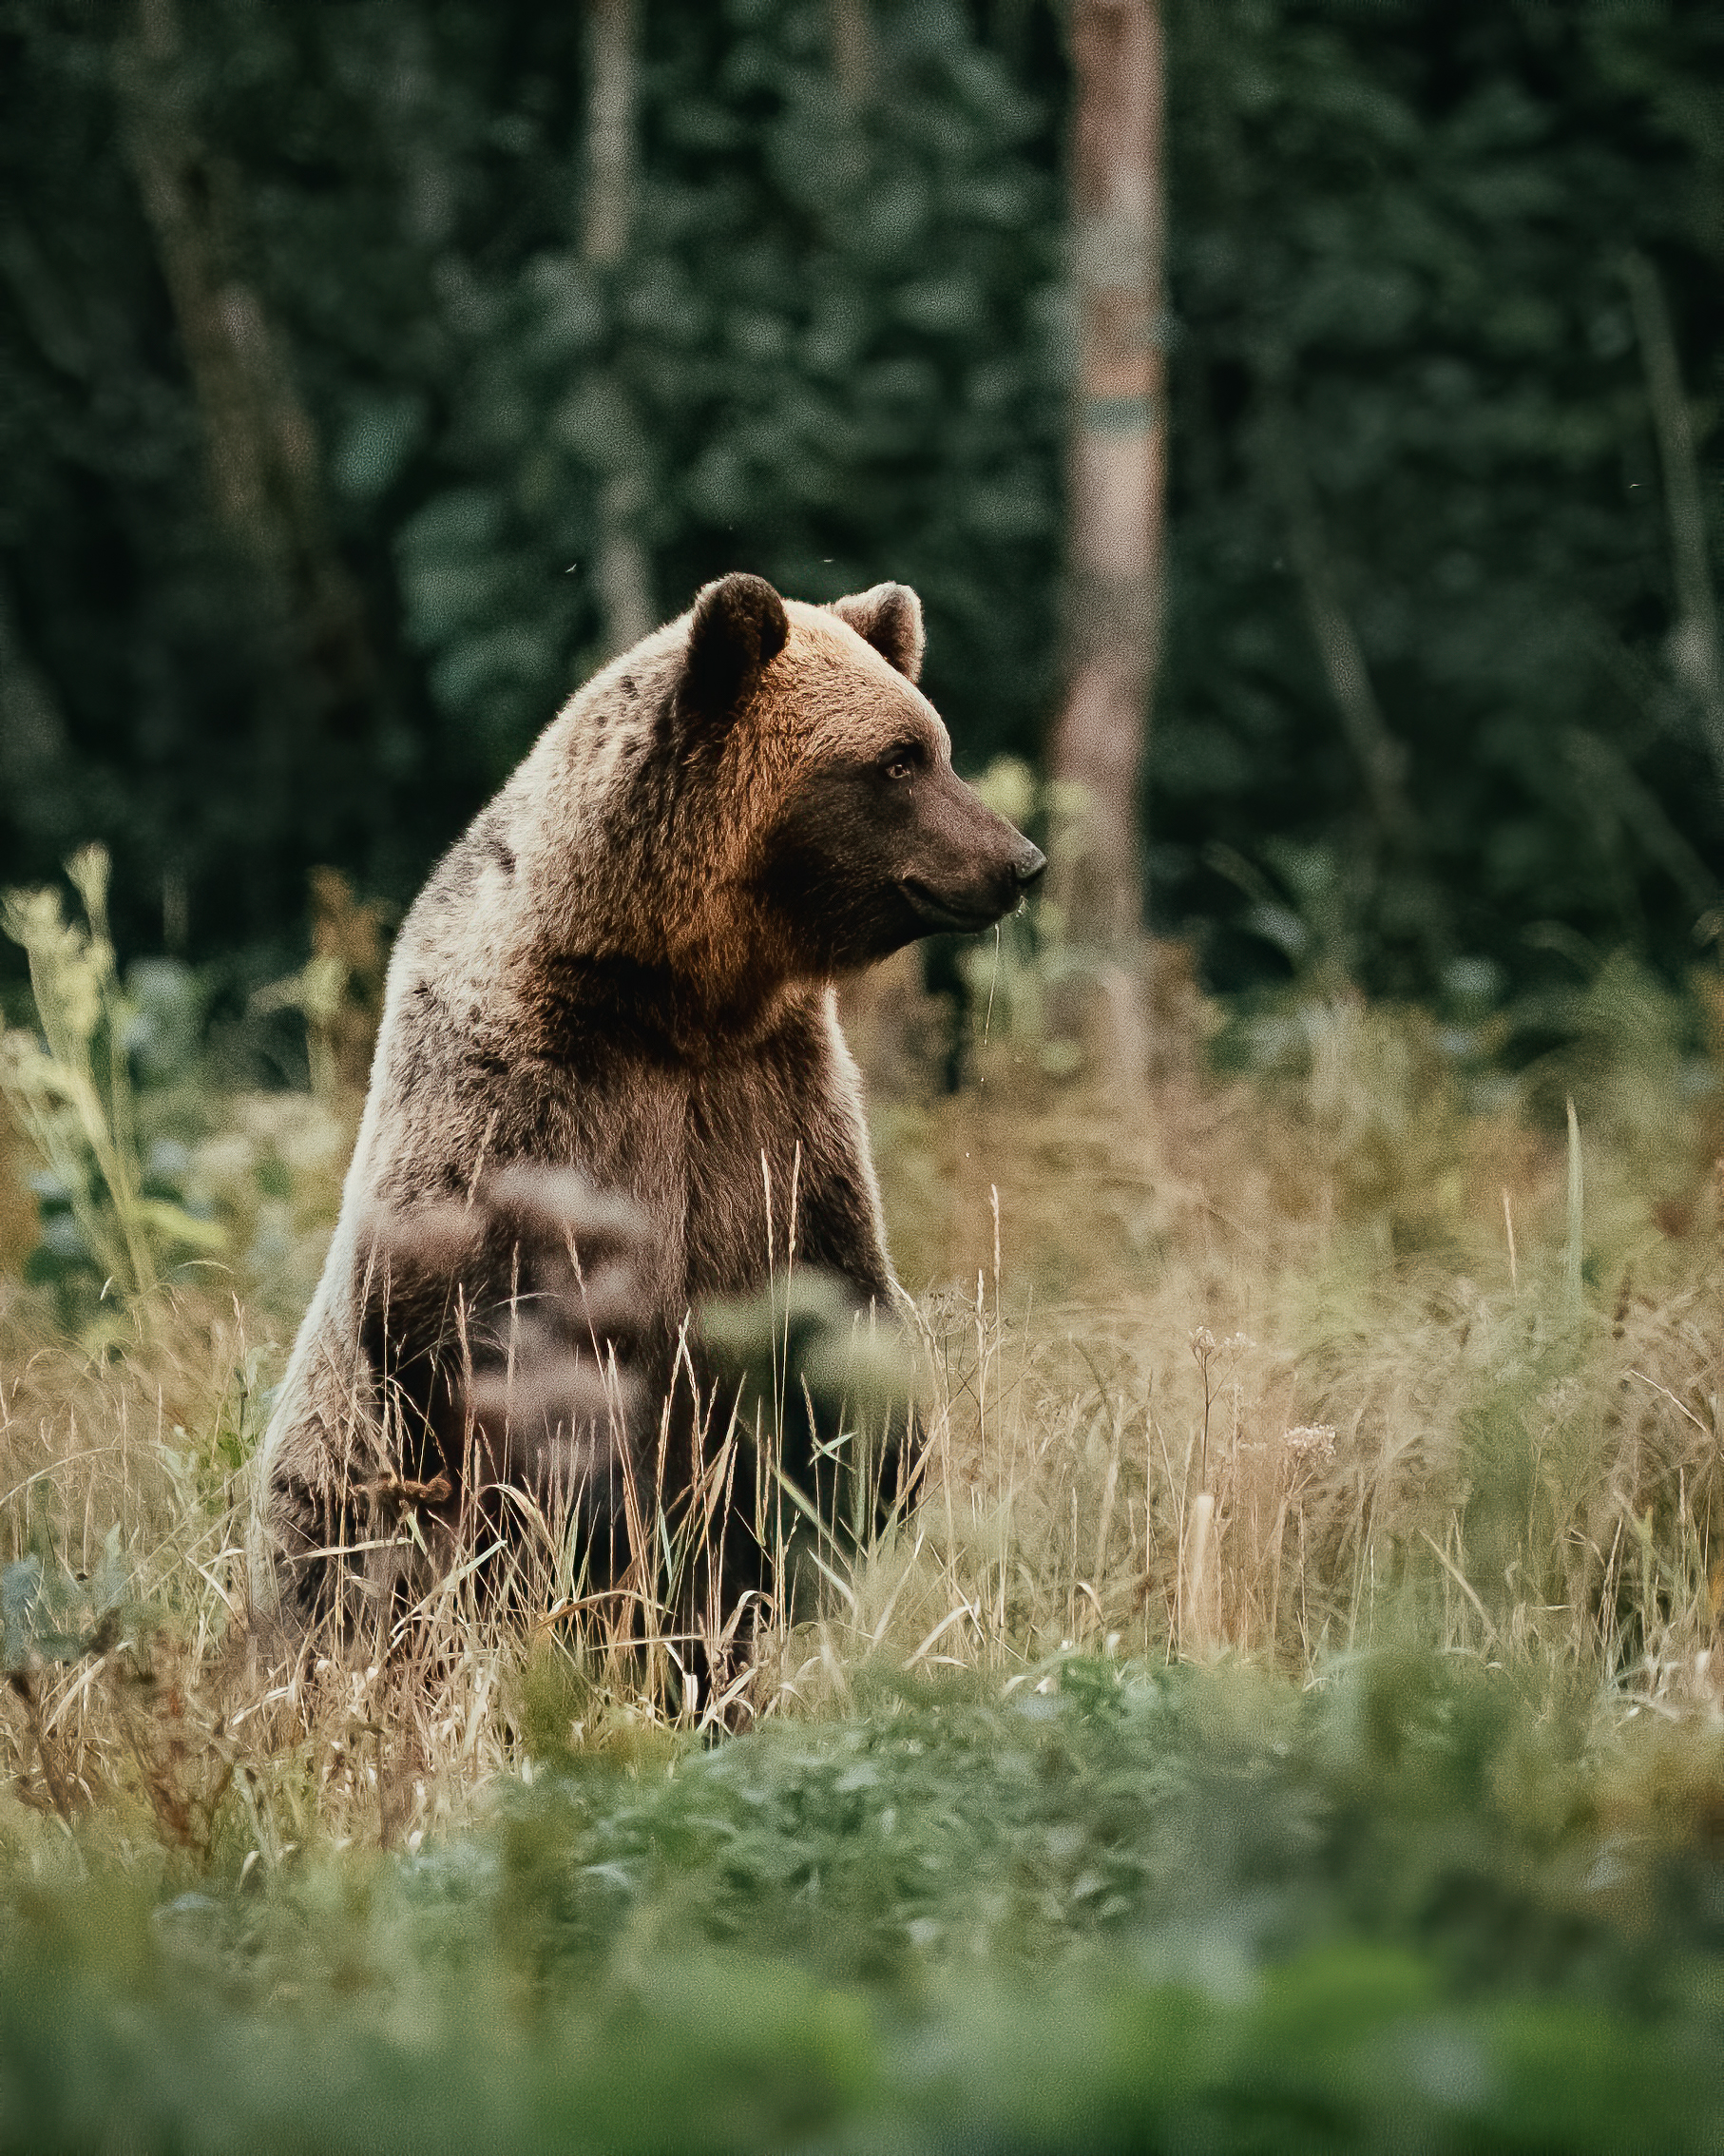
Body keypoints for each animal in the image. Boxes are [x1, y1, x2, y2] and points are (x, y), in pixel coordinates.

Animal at [251, 573, 1043, 1629]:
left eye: (934, 743)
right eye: (898, 760)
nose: (1019, 861)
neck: (674, 996)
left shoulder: (775, 1101)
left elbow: (834, 1299)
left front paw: (858, 1478)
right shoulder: (520, 1098)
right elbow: (479, 1330)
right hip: (332, 1521)